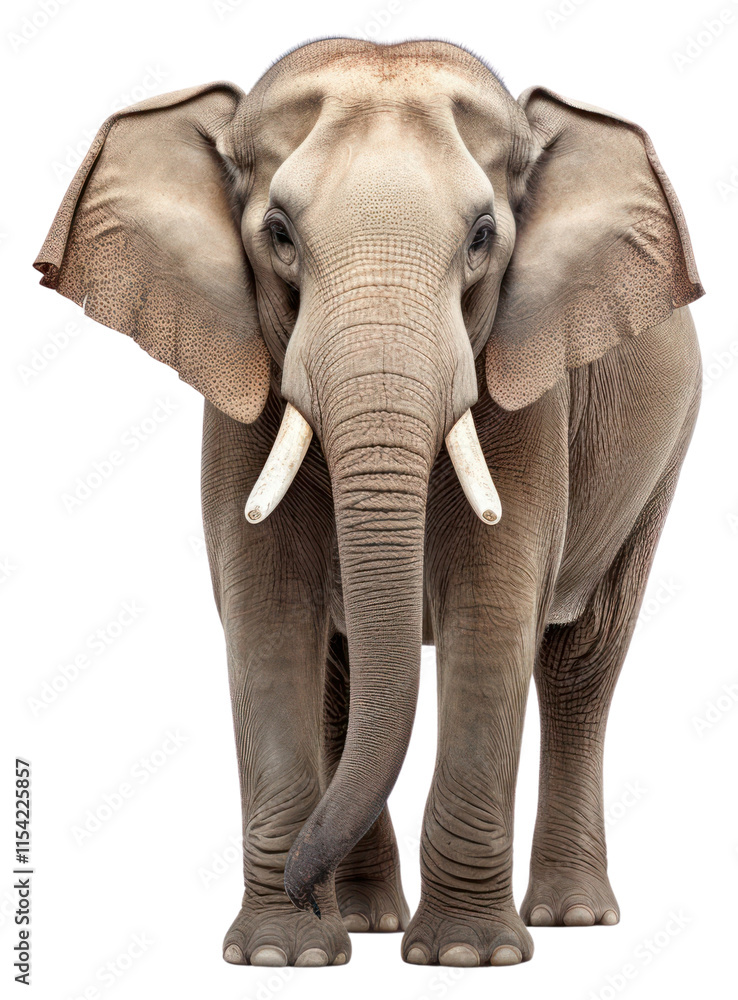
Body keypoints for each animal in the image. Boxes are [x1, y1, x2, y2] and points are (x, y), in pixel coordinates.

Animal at [34, 38, 703, 969]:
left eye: (483, 237)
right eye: (279, 235)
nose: (298, 884)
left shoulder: (529, 388)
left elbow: (494, 606)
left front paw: (466, 957)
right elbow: (269, 609)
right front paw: (286, 955)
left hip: (664, 455)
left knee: (582, 664)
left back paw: (568, 917)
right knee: (342, 671)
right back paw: (361, 920)